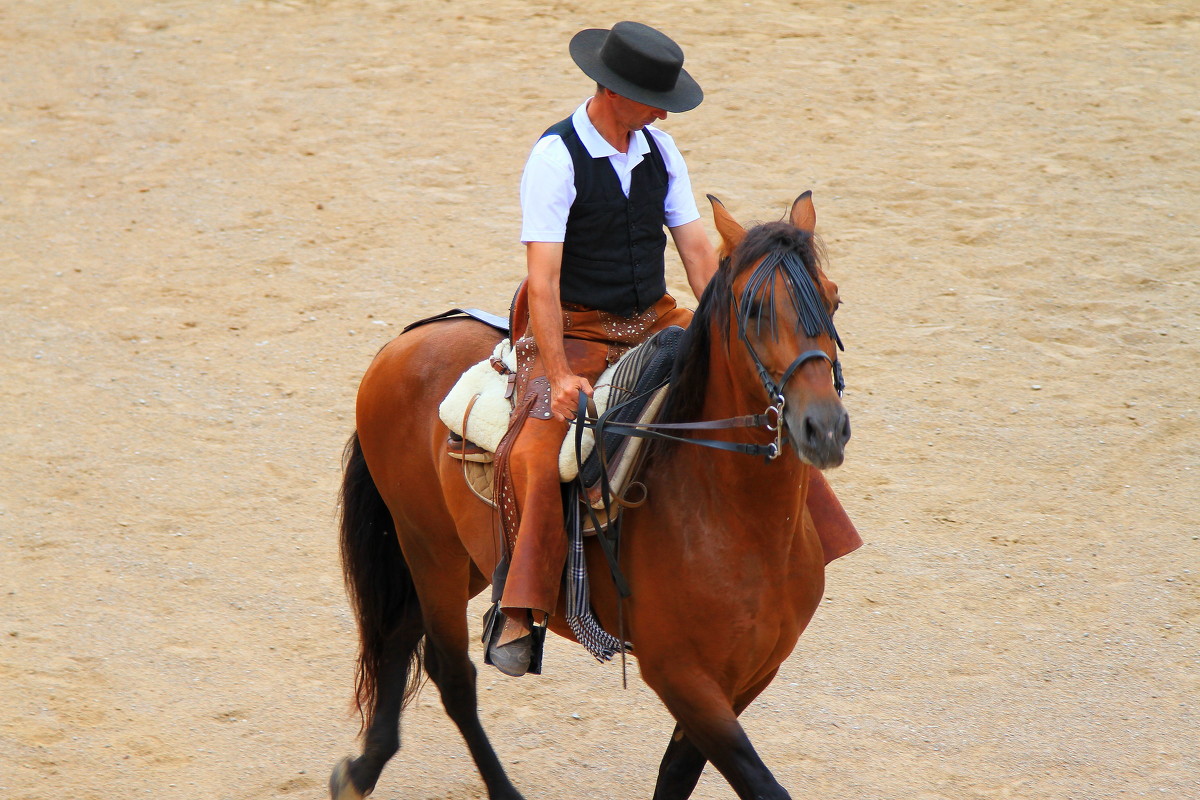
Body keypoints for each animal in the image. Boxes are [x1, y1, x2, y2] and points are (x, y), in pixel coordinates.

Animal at [331, 191, 854, 800]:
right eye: (752, 311)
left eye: (833, 299)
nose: (824, 428)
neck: (736, 522)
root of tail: (404, 342)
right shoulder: (682, 677)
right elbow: (759, 784)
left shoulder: (749, 676)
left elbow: (677, 774)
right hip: (428, 545)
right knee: (450, 670)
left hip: (473, 557)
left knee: (399, 632)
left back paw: (362, 769)